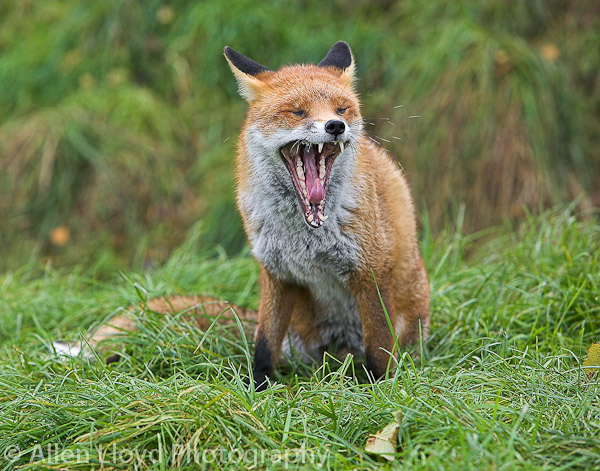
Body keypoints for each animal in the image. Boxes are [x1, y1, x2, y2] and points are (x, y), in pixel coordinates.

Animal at [54, 42, 430, 391]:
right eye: (297, 111)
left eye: (342, 109)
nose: (335, 126)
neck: (306, 237)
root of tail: (332, 349)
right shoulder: (276, 272)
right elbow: (263, 344)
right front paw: (257, 390)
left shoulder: (371, 270)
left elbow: (379, 349)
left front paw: (378, 390)